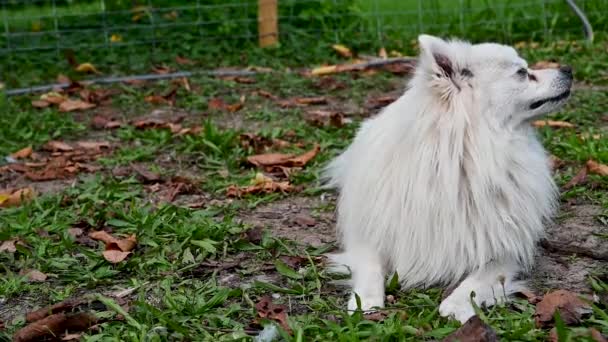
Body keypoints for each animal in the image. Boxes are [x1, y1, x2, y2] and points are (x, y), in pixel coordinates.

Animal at [326, 34, 572, 324]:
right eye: (522, 73)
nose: (568, 70)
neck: (464, 157)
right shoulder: (371, 236)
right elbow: (370, 267)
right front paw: (365, 300)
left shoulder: (504, 247)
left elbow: (482, 276)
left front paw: (457, 304)